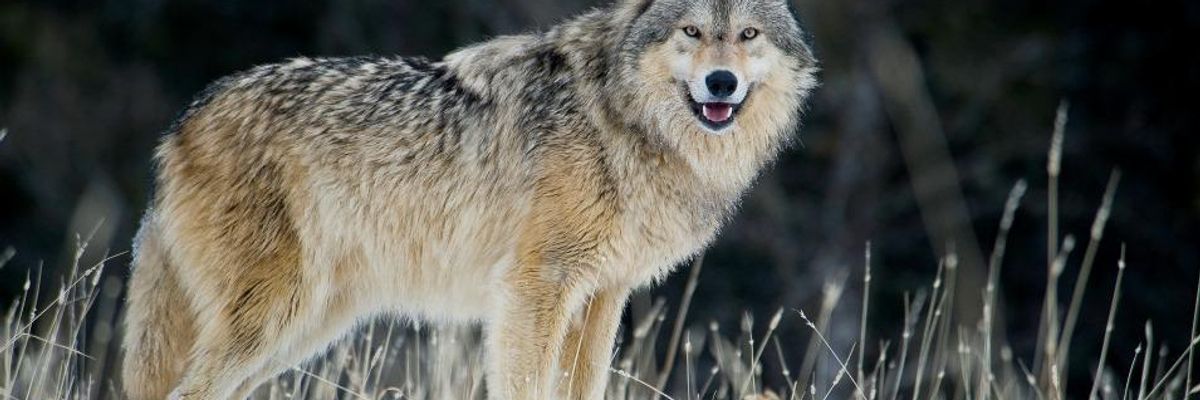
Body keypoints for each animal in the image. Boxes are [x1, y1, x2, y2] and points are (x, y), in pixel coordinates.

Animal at [120, 0, 817, 398]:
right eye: (691, 31)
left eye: (748, 34)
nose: (720, 82)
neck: (619, 121)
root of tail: (179, 126)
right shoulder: (534, 288)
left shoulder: (601, 296)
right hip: (272, 319)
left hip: (303, 329)